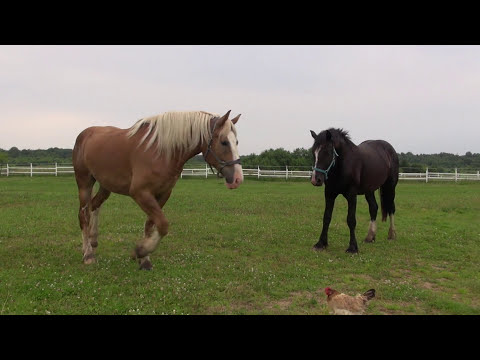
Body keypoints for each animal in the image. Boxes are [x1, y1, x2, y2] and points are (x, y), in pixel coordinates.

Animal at [73, 110, 244, 270]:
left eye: (236, 141)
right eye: (224, 142)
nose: (237, 179)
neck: (161, 151)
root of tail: (85, 134)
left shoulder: (163, 194)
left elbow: (150, 225)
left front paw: (144, 259)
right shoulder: (140, 193)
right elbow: (162, 224)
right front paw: (141, 250)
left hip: (105, 186)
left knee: (95, 206)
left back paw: (93, 241)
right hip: (84, 183)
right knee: (83, 215)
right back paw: (88, 253)